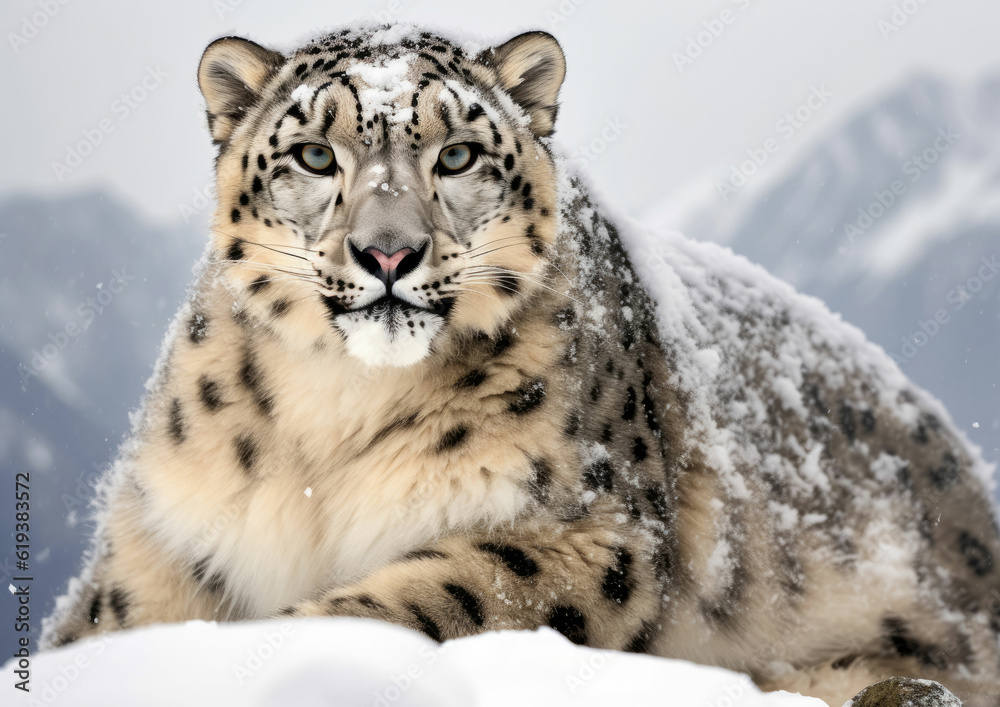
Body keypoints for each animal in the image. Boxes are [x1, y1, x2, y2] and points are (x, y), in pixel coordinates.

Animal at [42, 23, 1000, 706]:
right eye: (315, 154)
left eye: (457, 153)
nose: (387, 253)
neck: (333, 416)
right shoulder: (161, 534)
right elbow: (103, 624)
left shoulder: (594, 526)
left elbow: (441, 595)